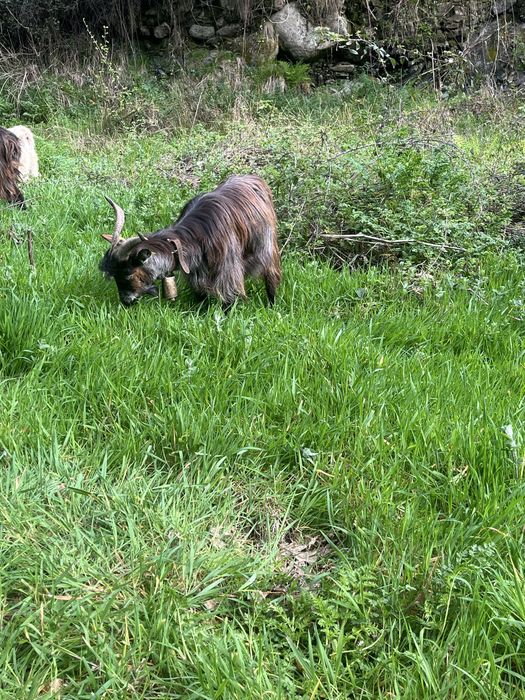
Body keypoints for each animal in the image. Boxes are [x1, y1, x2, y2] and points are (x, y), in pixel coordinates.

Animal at [99, 175, 282, 308]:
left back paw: (271, 305)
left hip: (267, 245)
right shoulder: (196, 271)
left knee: (271, 273)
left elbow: (228, 298)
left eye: (128, 273)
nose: (126, 301)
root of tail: (255, 179)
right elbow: (200, 295)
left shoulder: (228, 268)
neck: (194, 238)